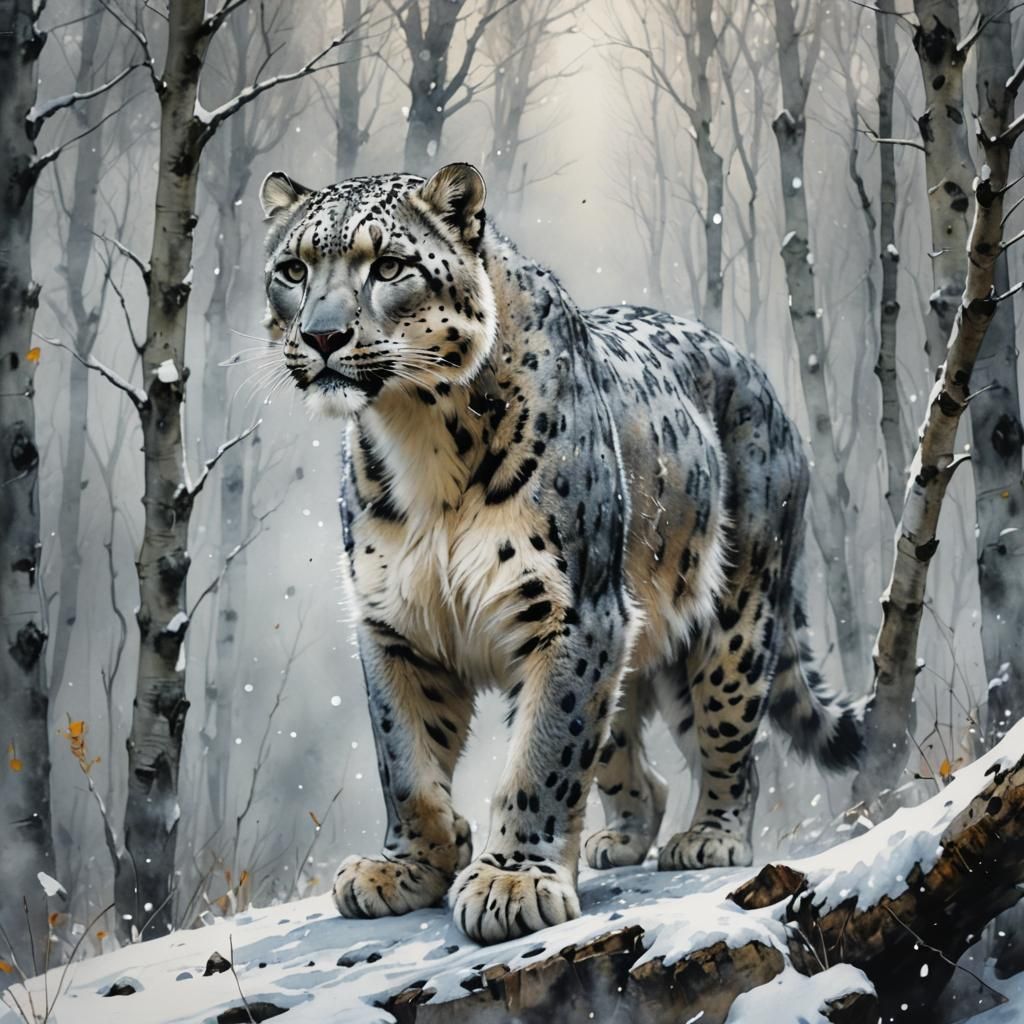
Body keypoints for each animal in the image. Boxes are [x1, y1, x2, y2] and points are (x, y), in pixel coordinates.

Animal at [258, 162, 863, 945]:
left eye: (388, 266)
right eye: (293, 269)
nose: (323, 335)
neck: (417, 437)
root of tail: (759, 375)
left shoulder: (571, 611)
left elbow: (544, 751)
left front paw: (511, 881)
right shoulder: (393, 622)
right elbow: (405, 756)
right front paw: (407, 867)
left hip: (734, 617)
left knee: (730, 736)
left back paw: (711, 837)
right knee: (631, 754)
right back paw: (622, 838)